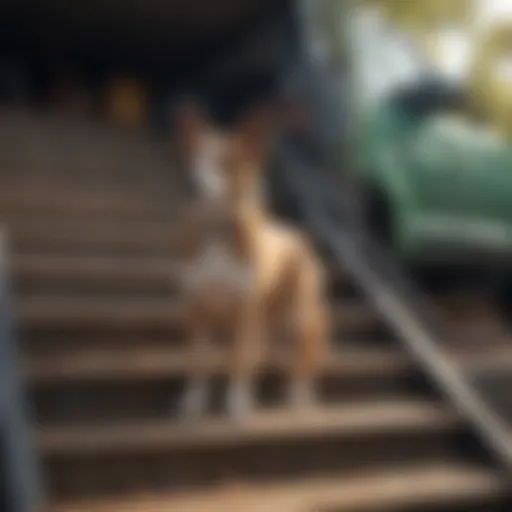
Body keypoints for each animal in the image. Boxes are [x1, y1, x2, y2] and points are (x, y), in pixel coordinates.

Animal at [175, 101, 328, 420]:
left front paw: (236, 404)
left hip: (301, 317)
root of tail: (299, 235)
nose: (190, 183)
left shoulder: (245, 310)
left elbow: (239, 359)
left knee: (303, 362)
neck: (215, 231)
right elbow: (197, 360)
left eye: (226, 162)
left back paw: (297, 395)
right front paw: (194, 400)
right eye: (193, 159)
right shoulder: (195, 309)